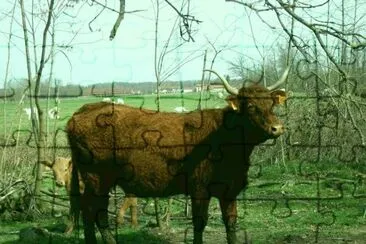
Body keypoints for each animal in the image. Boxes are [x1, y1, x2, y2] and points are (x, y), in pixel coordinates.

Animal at [66, 67, 288, 243]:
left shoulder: (229, 190)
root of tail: (85, 109)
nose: (277, 128)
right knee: (94, 211)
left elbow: (231, 223)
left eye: (272, 104)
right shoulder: (199, 189)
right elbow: (199, 224)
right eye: (250, 106)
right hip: (97, 178)